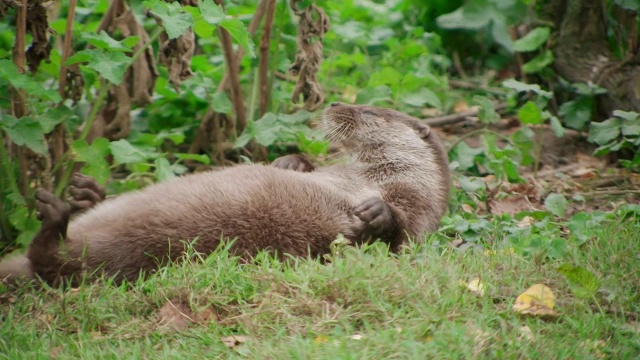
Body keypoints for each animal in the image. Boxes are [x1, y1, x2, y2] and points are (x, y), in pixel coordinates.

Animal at [1, 102, 450, 286]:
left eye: (370, 111)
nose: (336, 102)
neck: (363, 176)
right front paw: (290, 162)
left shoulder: (415, 205)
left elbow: (400, 235)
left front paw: (377, 214)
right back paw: (85, 192)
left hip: (130, 248)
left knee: (54, 264)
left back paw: (55, 217)